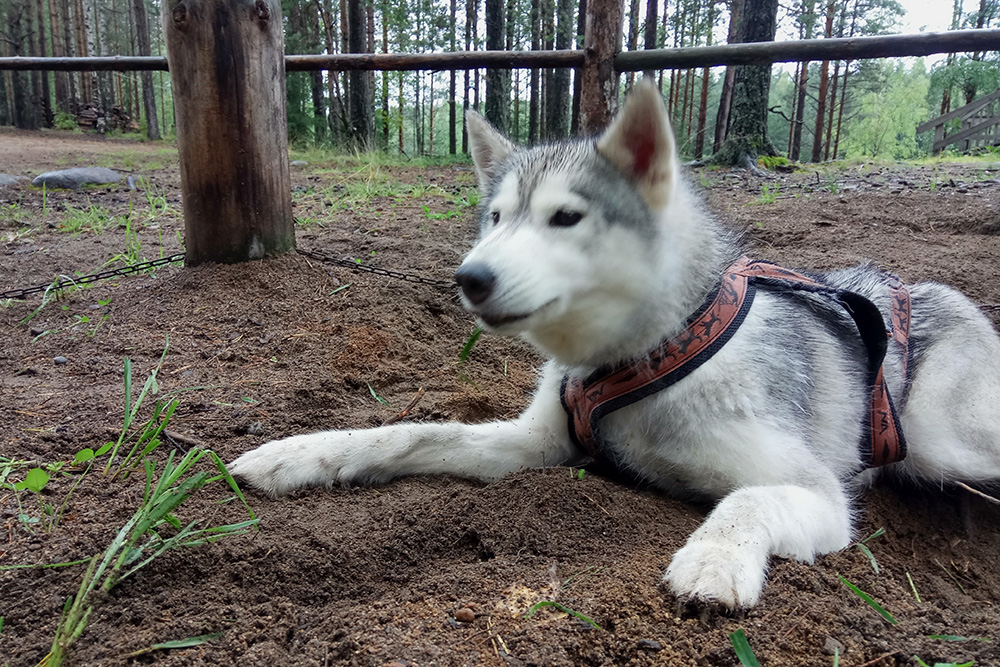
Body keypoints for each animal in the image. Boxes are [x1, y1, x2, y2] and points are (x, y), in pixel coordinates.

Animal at [230, 81, 1000, 608]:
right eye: (496, 218)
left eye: (565, 218)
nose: (470, 277)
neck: (647, 357)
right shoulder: (532, 442)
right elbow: (411, 432)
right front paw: (299, 455)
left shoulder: (819, 492)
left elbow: (748, 500)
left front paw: (714, 560)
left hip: (940, 440)